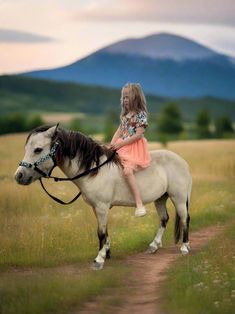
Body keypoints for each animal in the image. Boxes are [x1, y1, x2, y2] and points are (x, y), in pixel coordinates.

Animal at [14, 125, 192, 270]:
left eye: (37, 149)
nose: (19, 176)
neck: (93, 169)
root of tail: (183, 162)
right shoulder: (96, 208)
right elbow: (104, 231)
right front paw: (107, 253)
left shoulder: (101, 206)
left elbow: (100, 232)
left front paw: (99, 260)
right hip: (161, 198)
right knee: (164, 219)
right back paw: (154, 246)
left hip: (179, 198)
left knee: (184, 219)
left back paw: (184, 247)